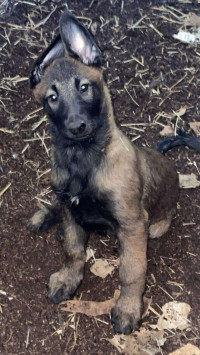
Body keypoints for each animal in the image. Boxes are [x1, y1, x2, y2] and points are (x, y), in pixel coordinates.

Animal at [28, 9, 198, 336]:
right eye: (52, 98)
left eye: (84, 88)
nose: (76, 126)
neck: (82, 158)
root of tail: (159, 152)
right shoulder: (71, 207)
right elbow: (73, 251)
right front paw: (68, 279)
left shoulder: (132, 224)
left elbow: (131, 271)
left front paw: (128, 308)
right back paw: (47, 216)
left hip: (156, 223)